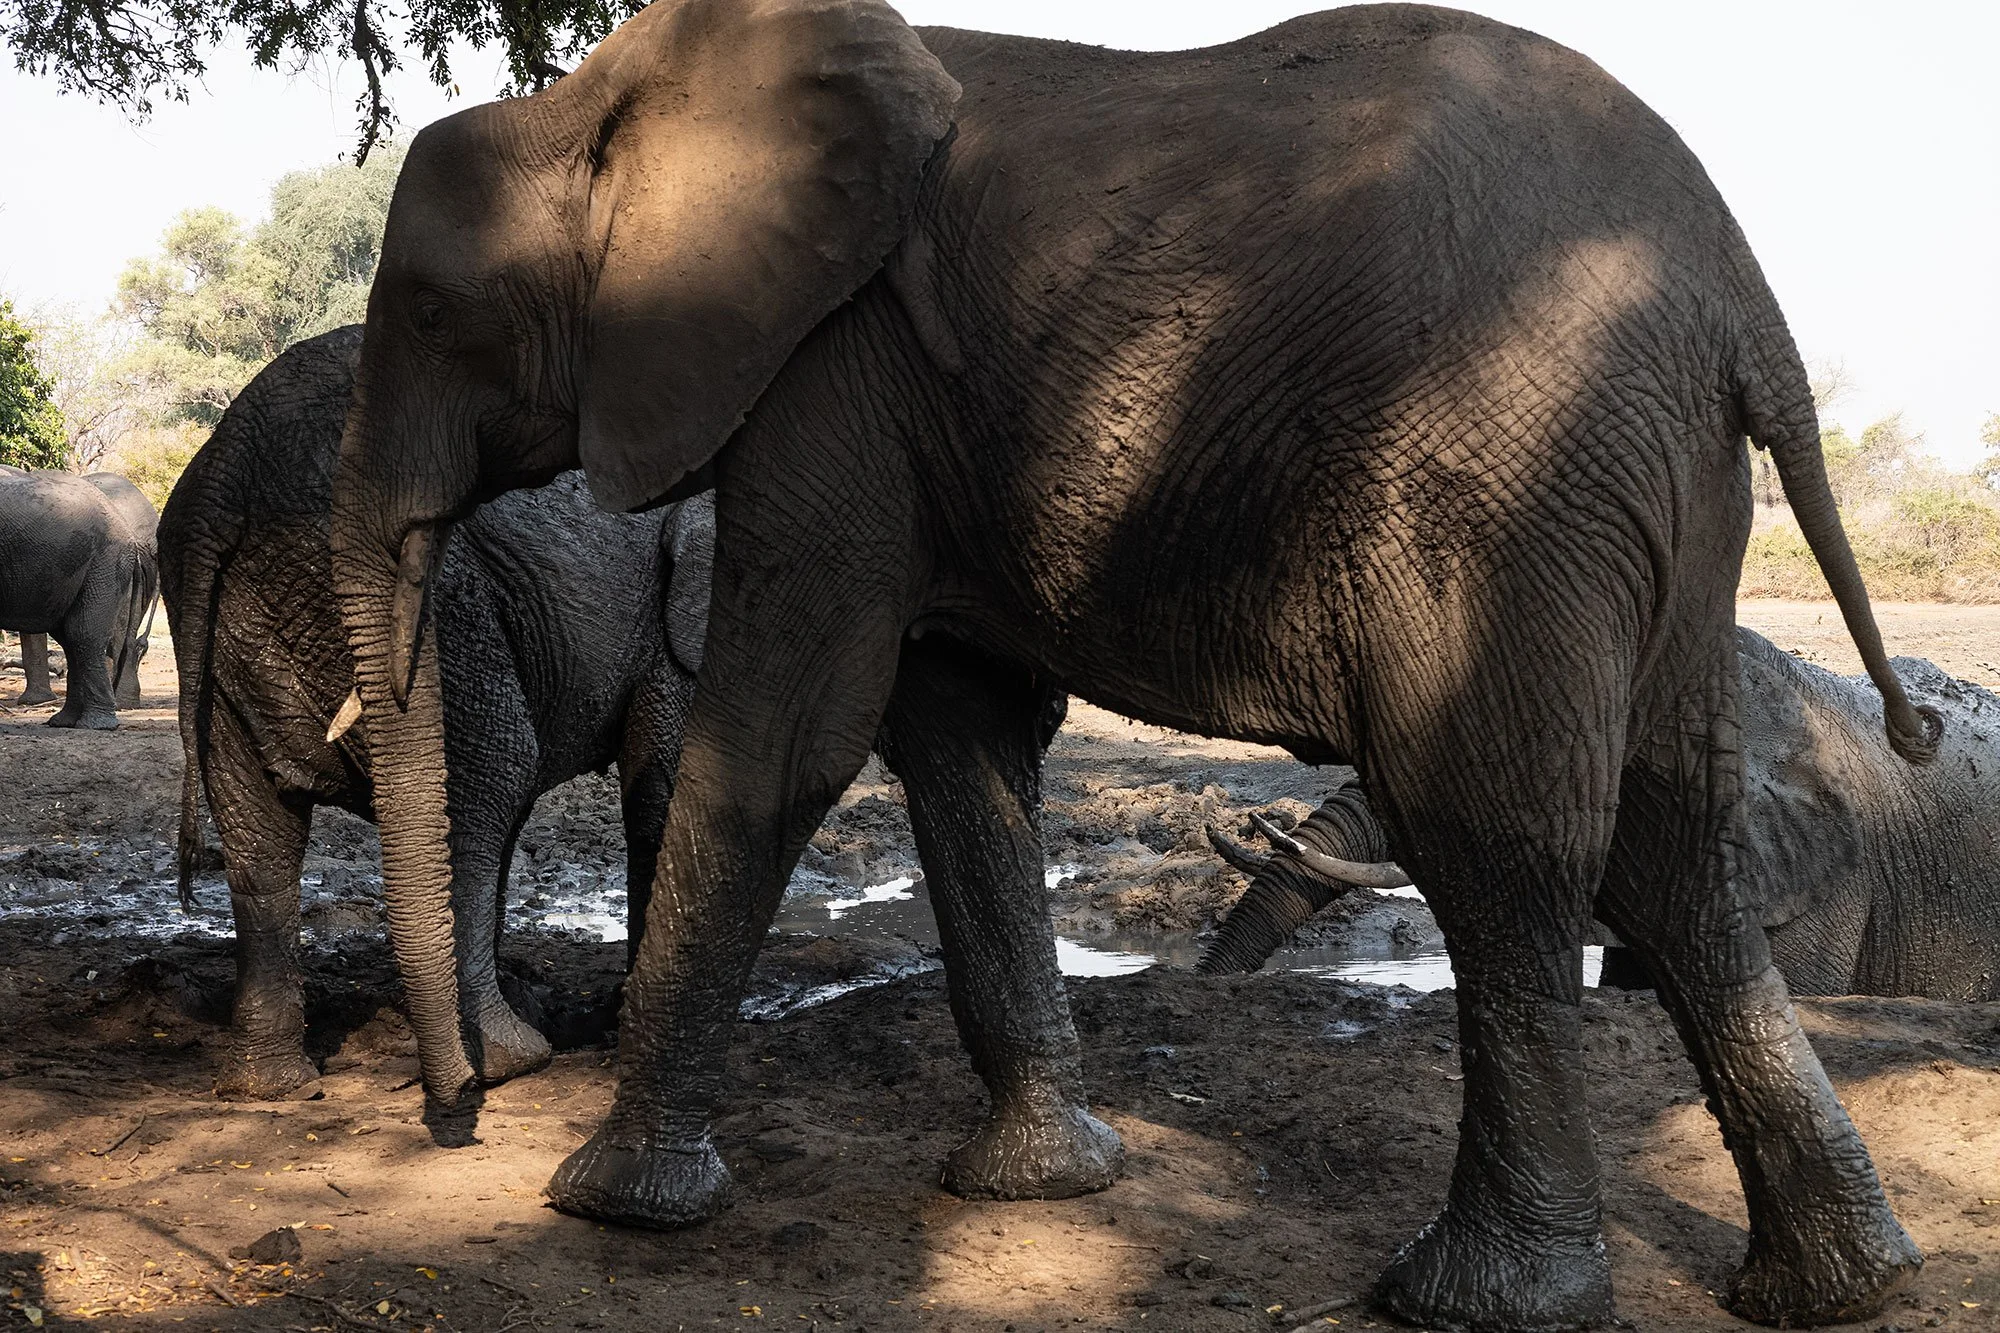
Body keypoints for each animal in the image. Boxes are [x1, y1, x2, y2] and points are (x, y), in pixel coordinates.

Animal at [159, 324, 710, 1099]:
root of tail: (224, 469)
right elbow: (659, 794)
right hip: (434, 603)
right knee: (495, 771)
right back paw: (506, 1060)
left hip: (224, 621)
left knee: (261, 832)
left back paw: (272, 1086)